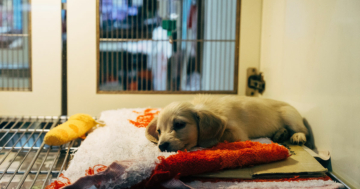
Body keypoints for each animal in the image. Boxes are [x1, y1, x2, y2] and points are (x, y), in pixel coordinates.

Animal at [145, 95, 308, 151]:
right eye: (159, 131)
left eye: (179, 125)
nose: (161, 146)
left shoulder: (237, 133)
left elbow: (221, 136)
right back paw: (280, 134)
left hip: (290, 116)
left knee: (302, 130)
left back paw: (297, 136)